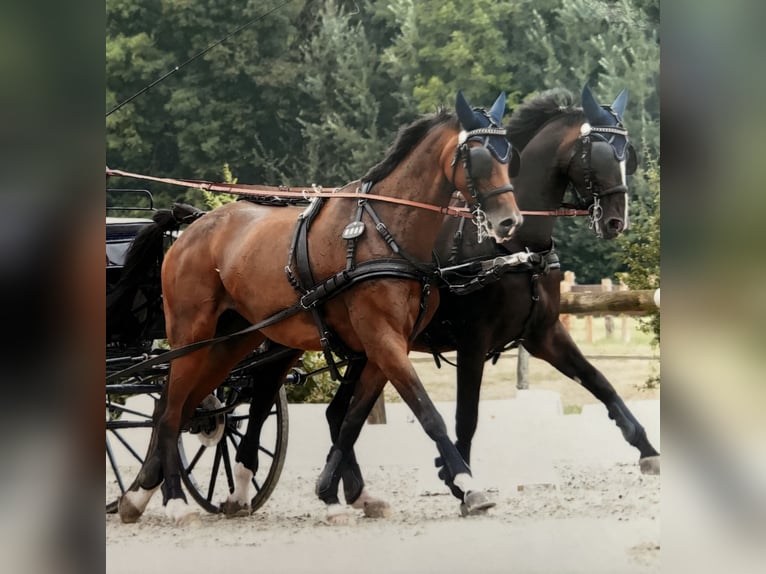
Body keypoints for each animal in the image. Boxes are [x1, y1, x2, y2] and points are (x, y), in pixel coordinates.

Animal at [116, 91, 523, 525]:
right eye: (479, 158)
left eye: (508, 157)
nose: (509, 222)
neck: (384, 233)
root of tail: (190, 226)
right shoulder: (383, 341)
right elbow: (427, 412)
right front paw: (468, 485)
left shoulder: (383, 348)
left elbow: (350, 421)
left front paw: (331, 492)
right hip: (190, 335)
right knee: (170, 412)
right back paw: (175, 501)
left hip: (230, 341)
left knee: (181, 407)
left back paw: (140, 494)